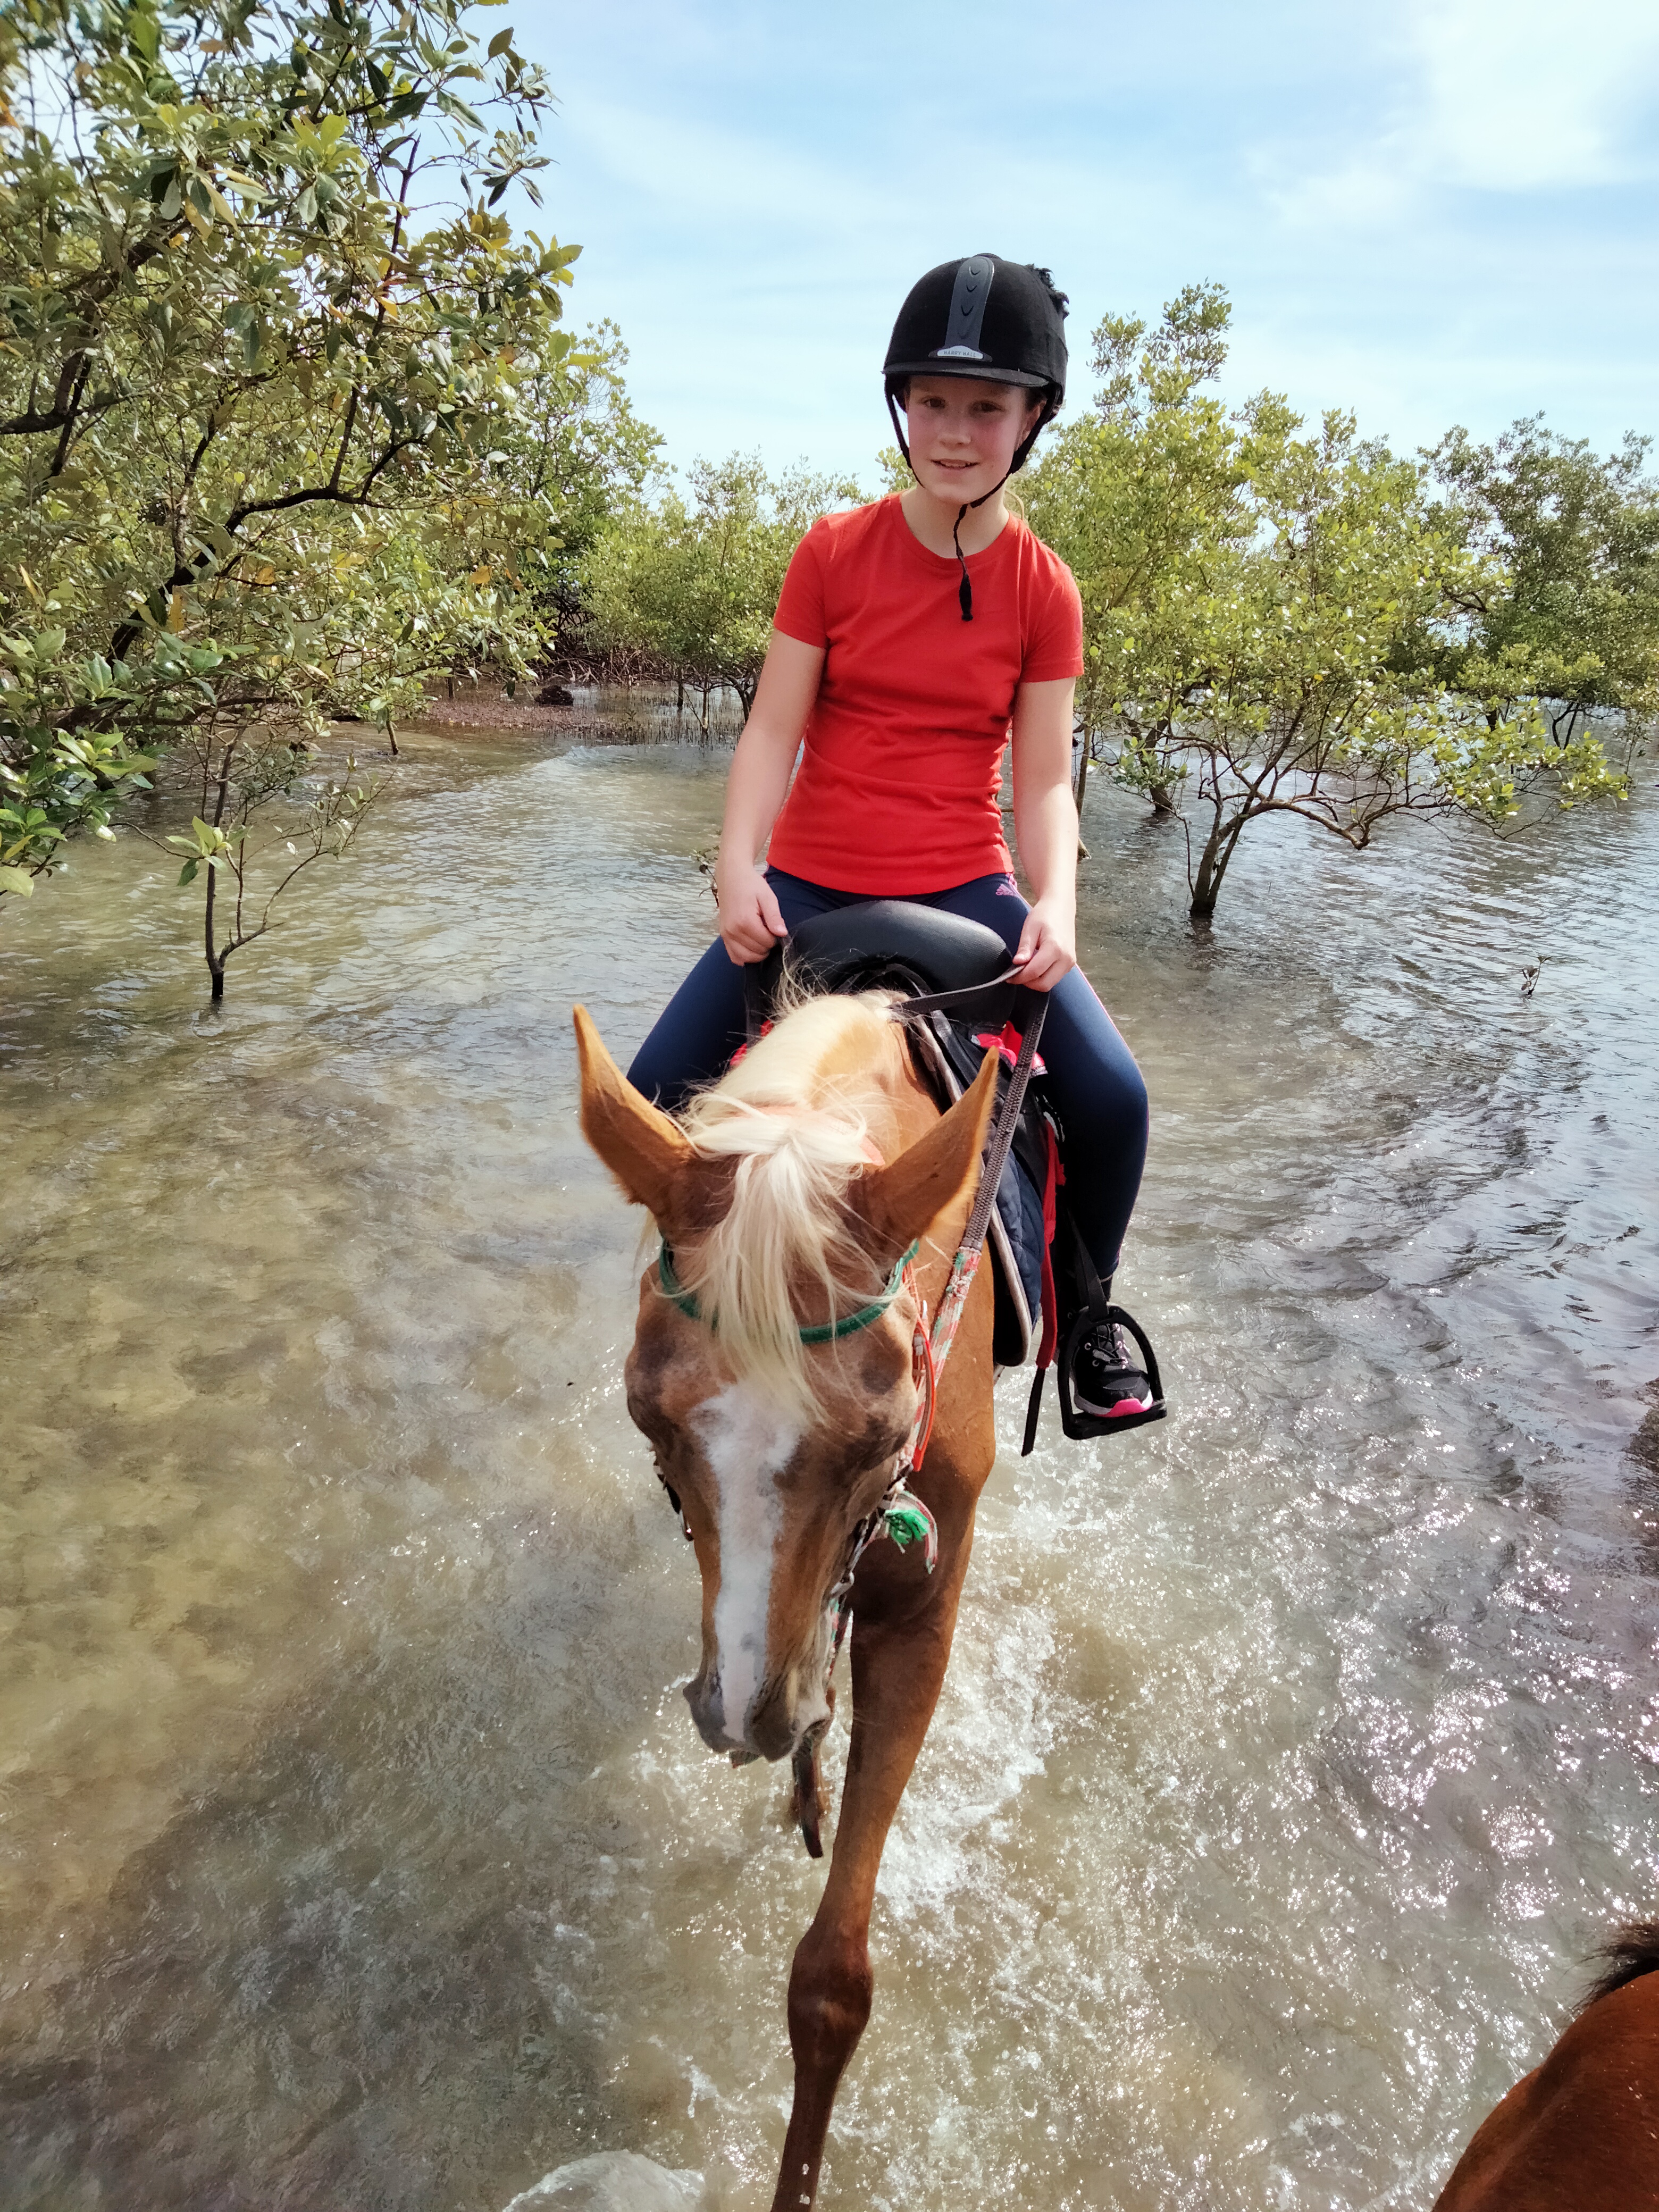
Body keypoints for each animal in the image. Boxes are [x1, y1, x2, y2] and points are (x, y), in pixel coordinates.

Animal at [574, 988, 1001, 2212]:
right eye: (648, 1414)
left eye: (876, 1438)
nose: (737, 1717)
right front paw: (801, 1751)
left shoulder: (920, 1608)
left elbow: (833, 1983)